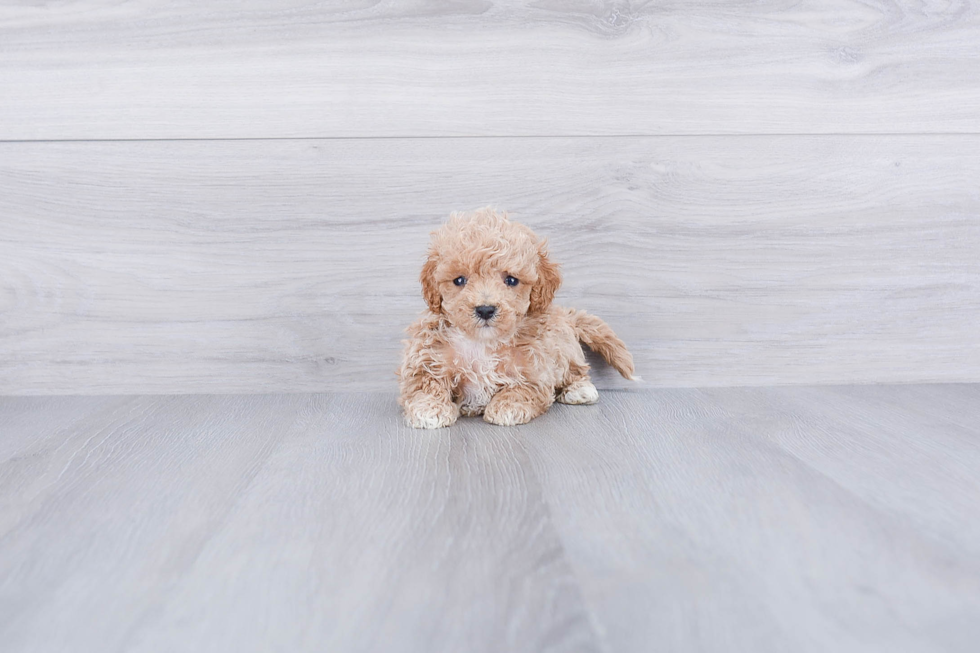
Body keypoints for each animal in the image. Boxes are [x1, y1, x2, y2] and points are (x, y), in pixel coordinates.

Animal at [396, 205, 636, 428]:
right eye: (459, 280)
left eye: (511, 280)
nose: (485, 309)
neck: (483, 343)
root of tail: (563, 315)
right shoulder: (426, 357)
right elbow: (424, 384)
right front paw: (429, 409)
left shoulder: (536, 371)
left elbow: (521, 390)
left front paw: (506, 407)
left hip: (565, 349)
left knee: (576, 370)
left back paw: (580, 389)